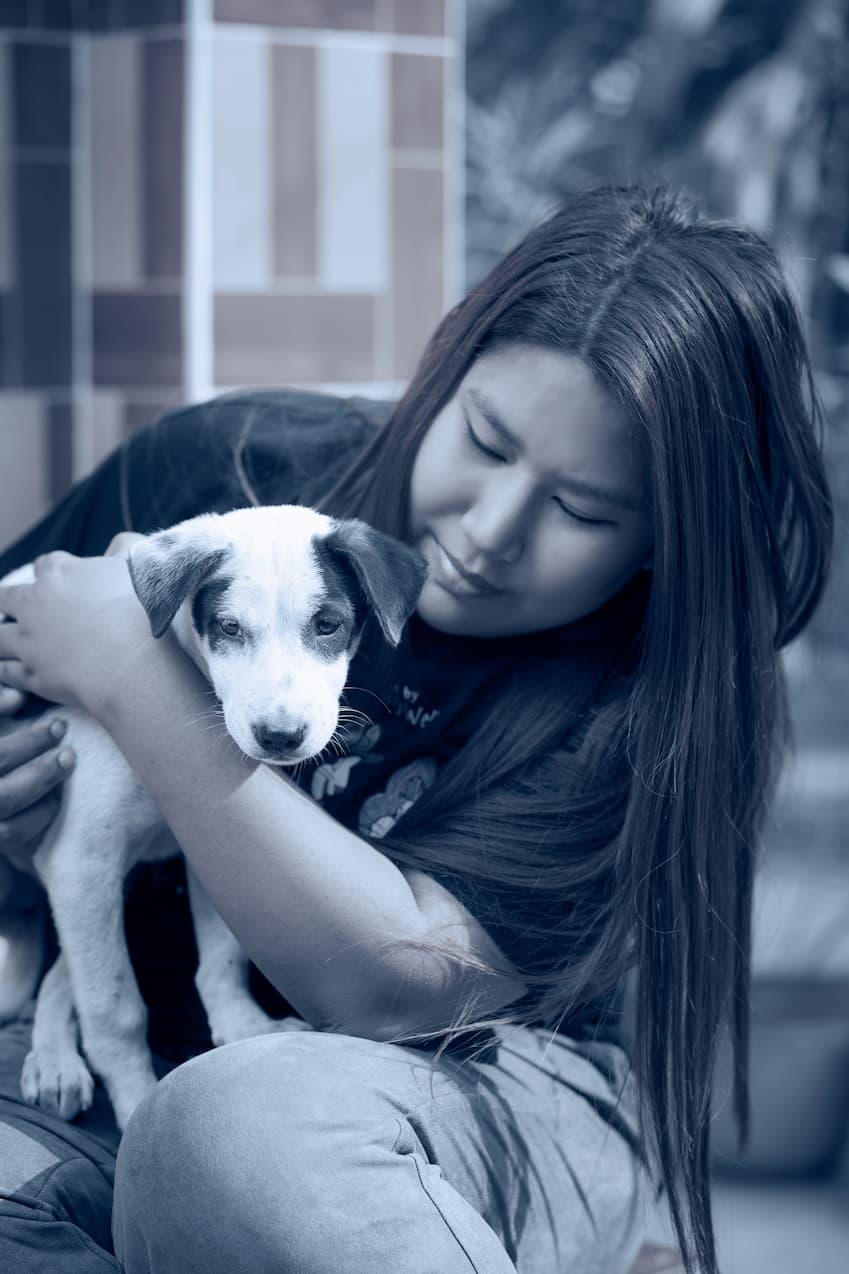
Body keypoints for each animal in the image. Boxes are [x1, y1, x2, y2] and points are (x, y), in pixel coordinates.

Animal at [0, 504, 423, 1126]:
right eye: (228, 628)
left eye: (328, 625)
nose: (280, 737)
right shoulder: (82, 863)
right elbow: (115, 1008)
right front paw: (136, 1102)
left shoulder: (210, 839)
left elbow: (220, 960)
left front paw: (242, 1026)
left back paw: (53, 1059)